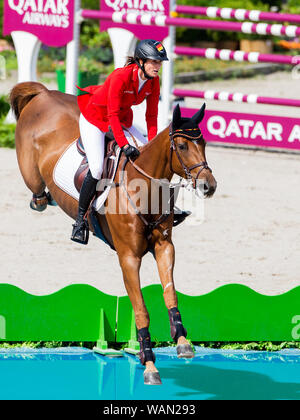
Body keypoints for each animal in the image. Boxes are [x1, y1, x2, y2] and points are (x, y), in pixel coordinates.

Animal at [10, 81, 217, 384]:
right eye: (181, 146)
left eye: (203, 144)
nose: (208, 185)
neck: (143, 188)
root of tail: (44, 93)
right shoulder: (129, 258)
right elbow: (141, 310)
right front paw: (149, 363)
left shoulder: (164, 247)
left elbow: (171, 294)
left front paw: (181, 341)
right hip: (32, 176)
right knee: (37, 196)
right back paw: (53, 206)